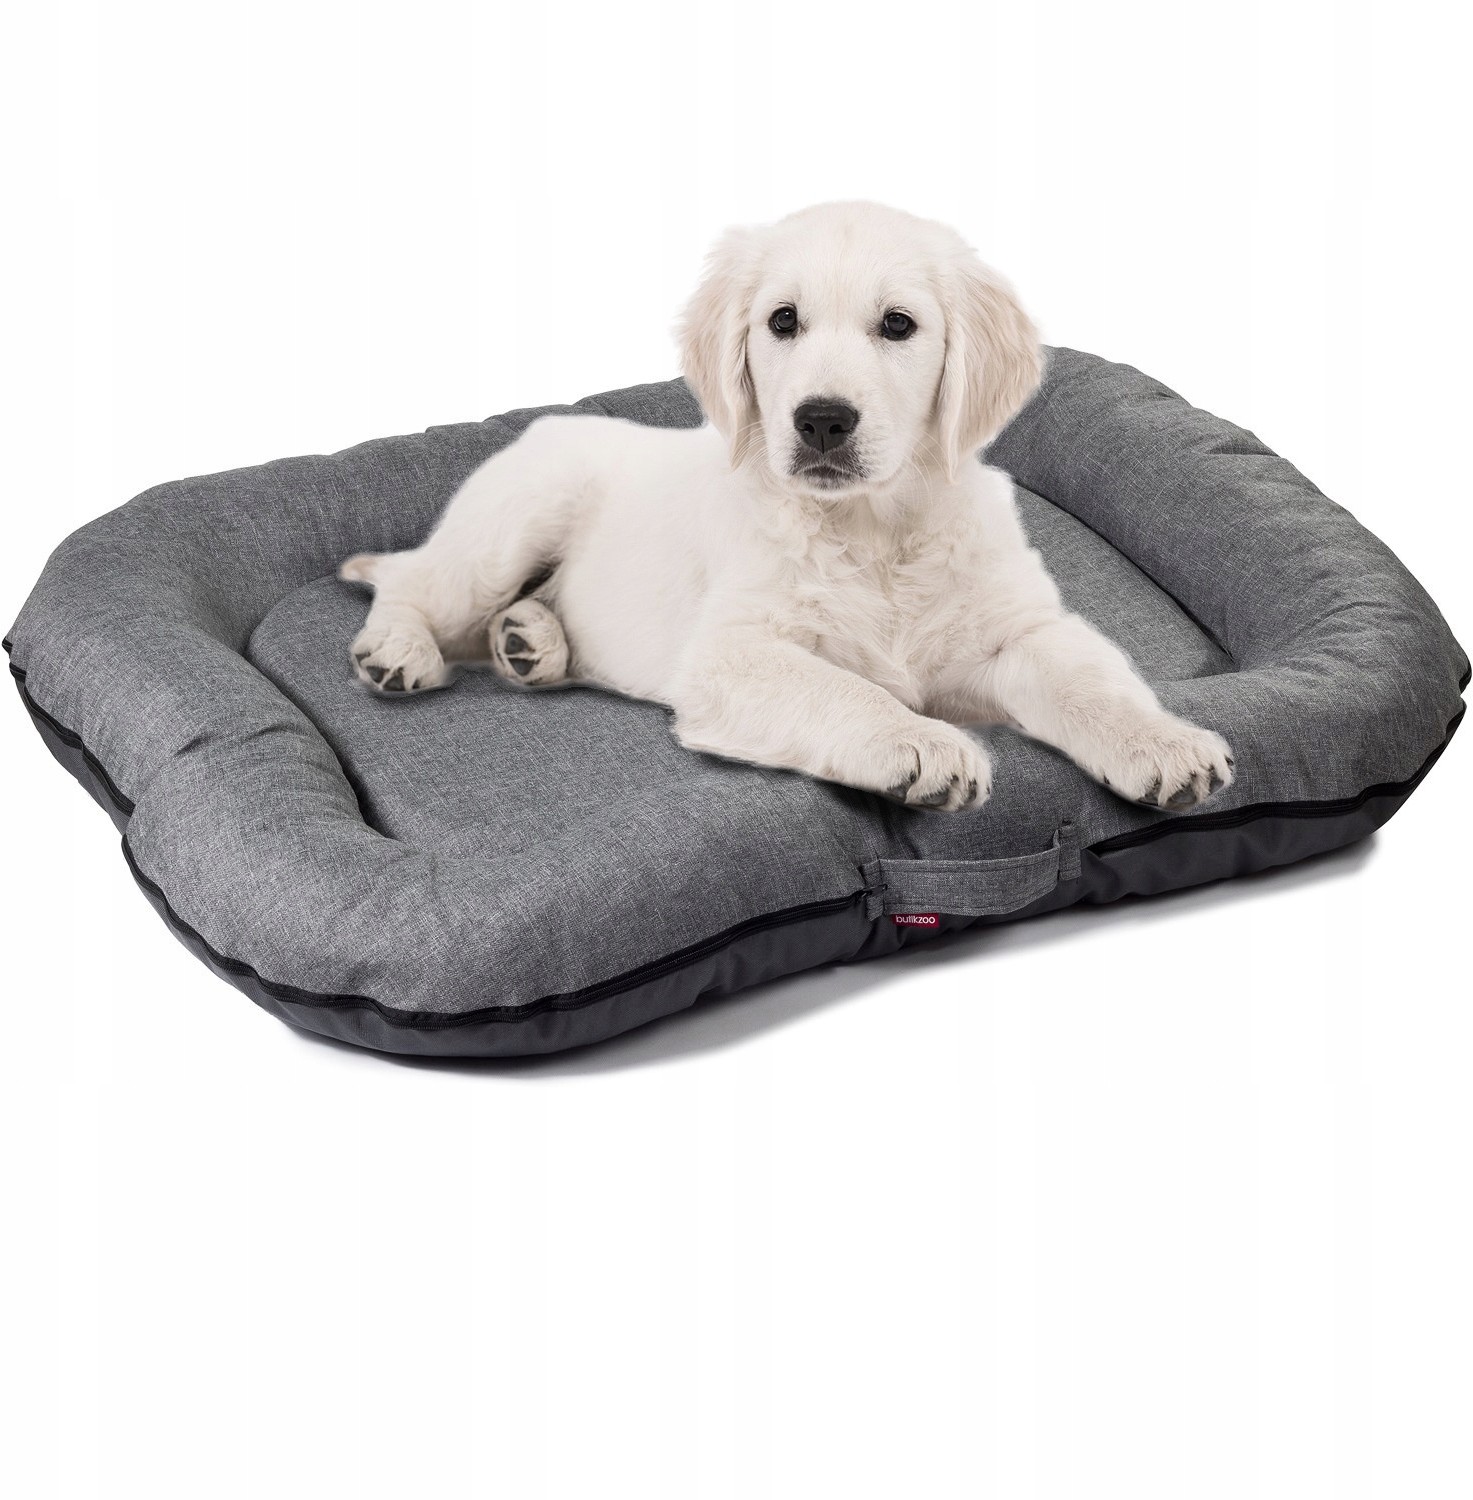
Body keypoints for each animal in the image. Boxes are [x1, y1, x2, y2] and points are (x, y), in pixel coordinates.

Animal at [341, 201, 1232, 813]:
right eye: (782, 321)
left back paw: (531, 641)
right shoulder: (730, 655)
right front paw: (921, 743)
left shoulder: (1016, 633)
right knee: (415, 584)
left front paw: (1164, 743)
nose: (822, 420)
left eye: (898, 325)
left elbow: (1090, 681)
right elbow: (846, 690)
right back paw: (400, 651)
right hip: (516, 519)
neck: (874, 531)